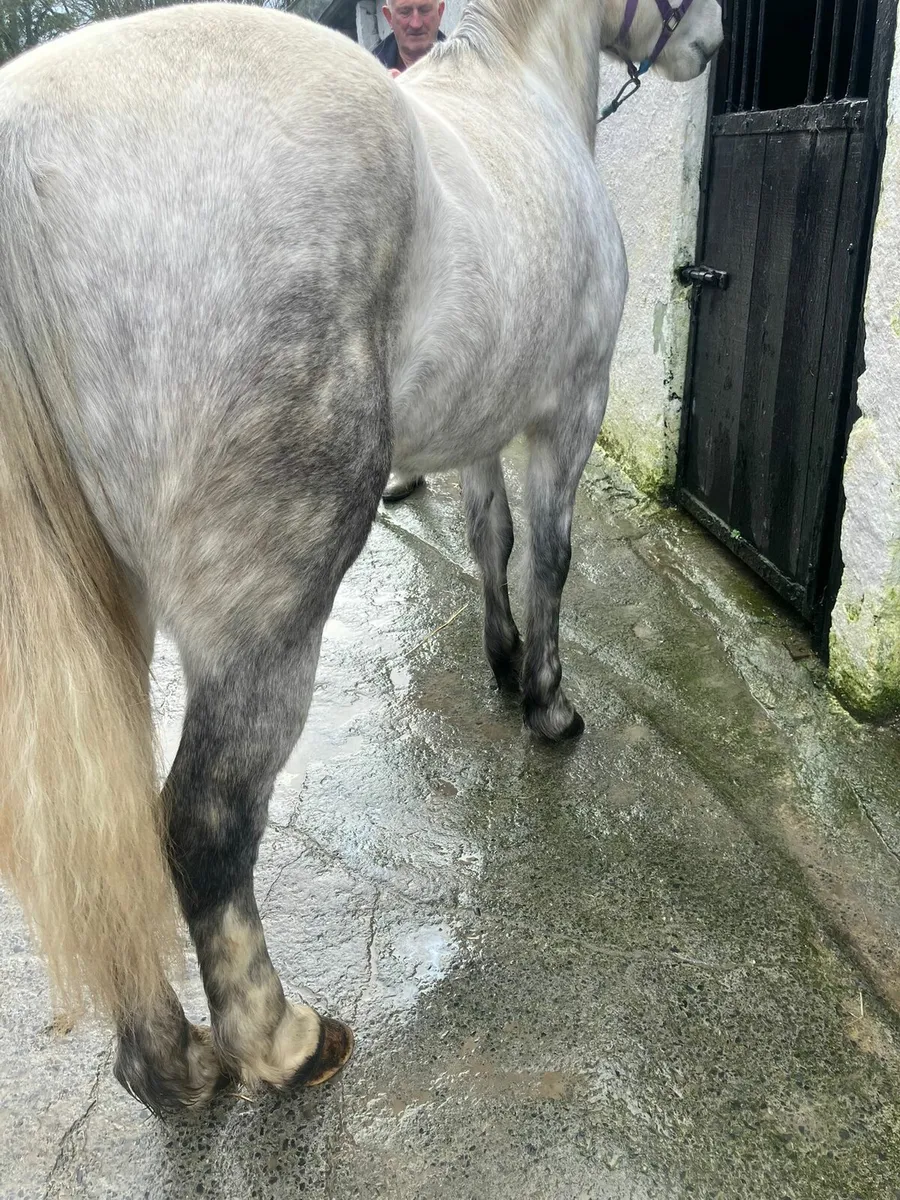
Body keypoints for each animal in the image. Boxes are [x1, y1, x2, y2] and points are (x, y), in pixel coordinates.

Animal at [0, 0, 723, 1110]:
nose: (712, 41)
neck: (517, 89)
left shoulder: (482, 423)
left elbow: (490, 538)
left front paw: (502, 662)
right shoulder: (568, 411)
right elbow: (551, 558)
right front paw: (548, 703)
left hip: (97, 602)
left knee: (99, 824)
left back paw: (169, 1067)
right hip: (269, 602)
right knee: (203, 821)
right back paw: (282, 1045)